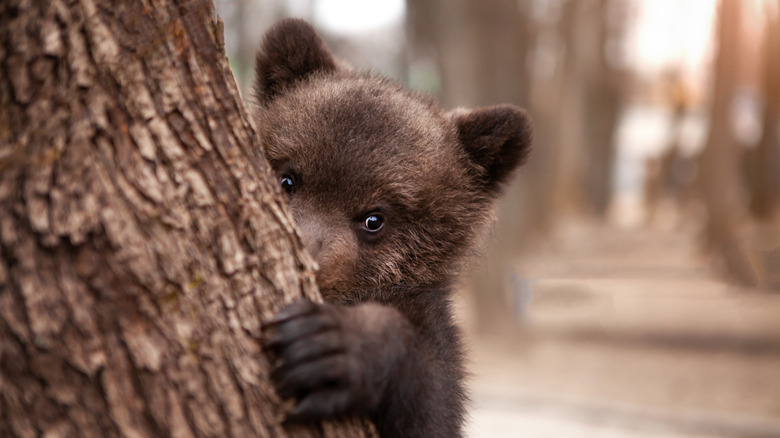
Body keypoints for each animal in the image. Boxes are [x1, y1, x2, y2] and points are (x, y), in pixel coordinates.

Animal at [255, 19, 532, 438]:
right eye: (288, 179)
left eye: (375, 218)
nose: (311, 257)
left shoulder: (429, 322)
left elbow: (432, 399)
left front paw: (333, 346)